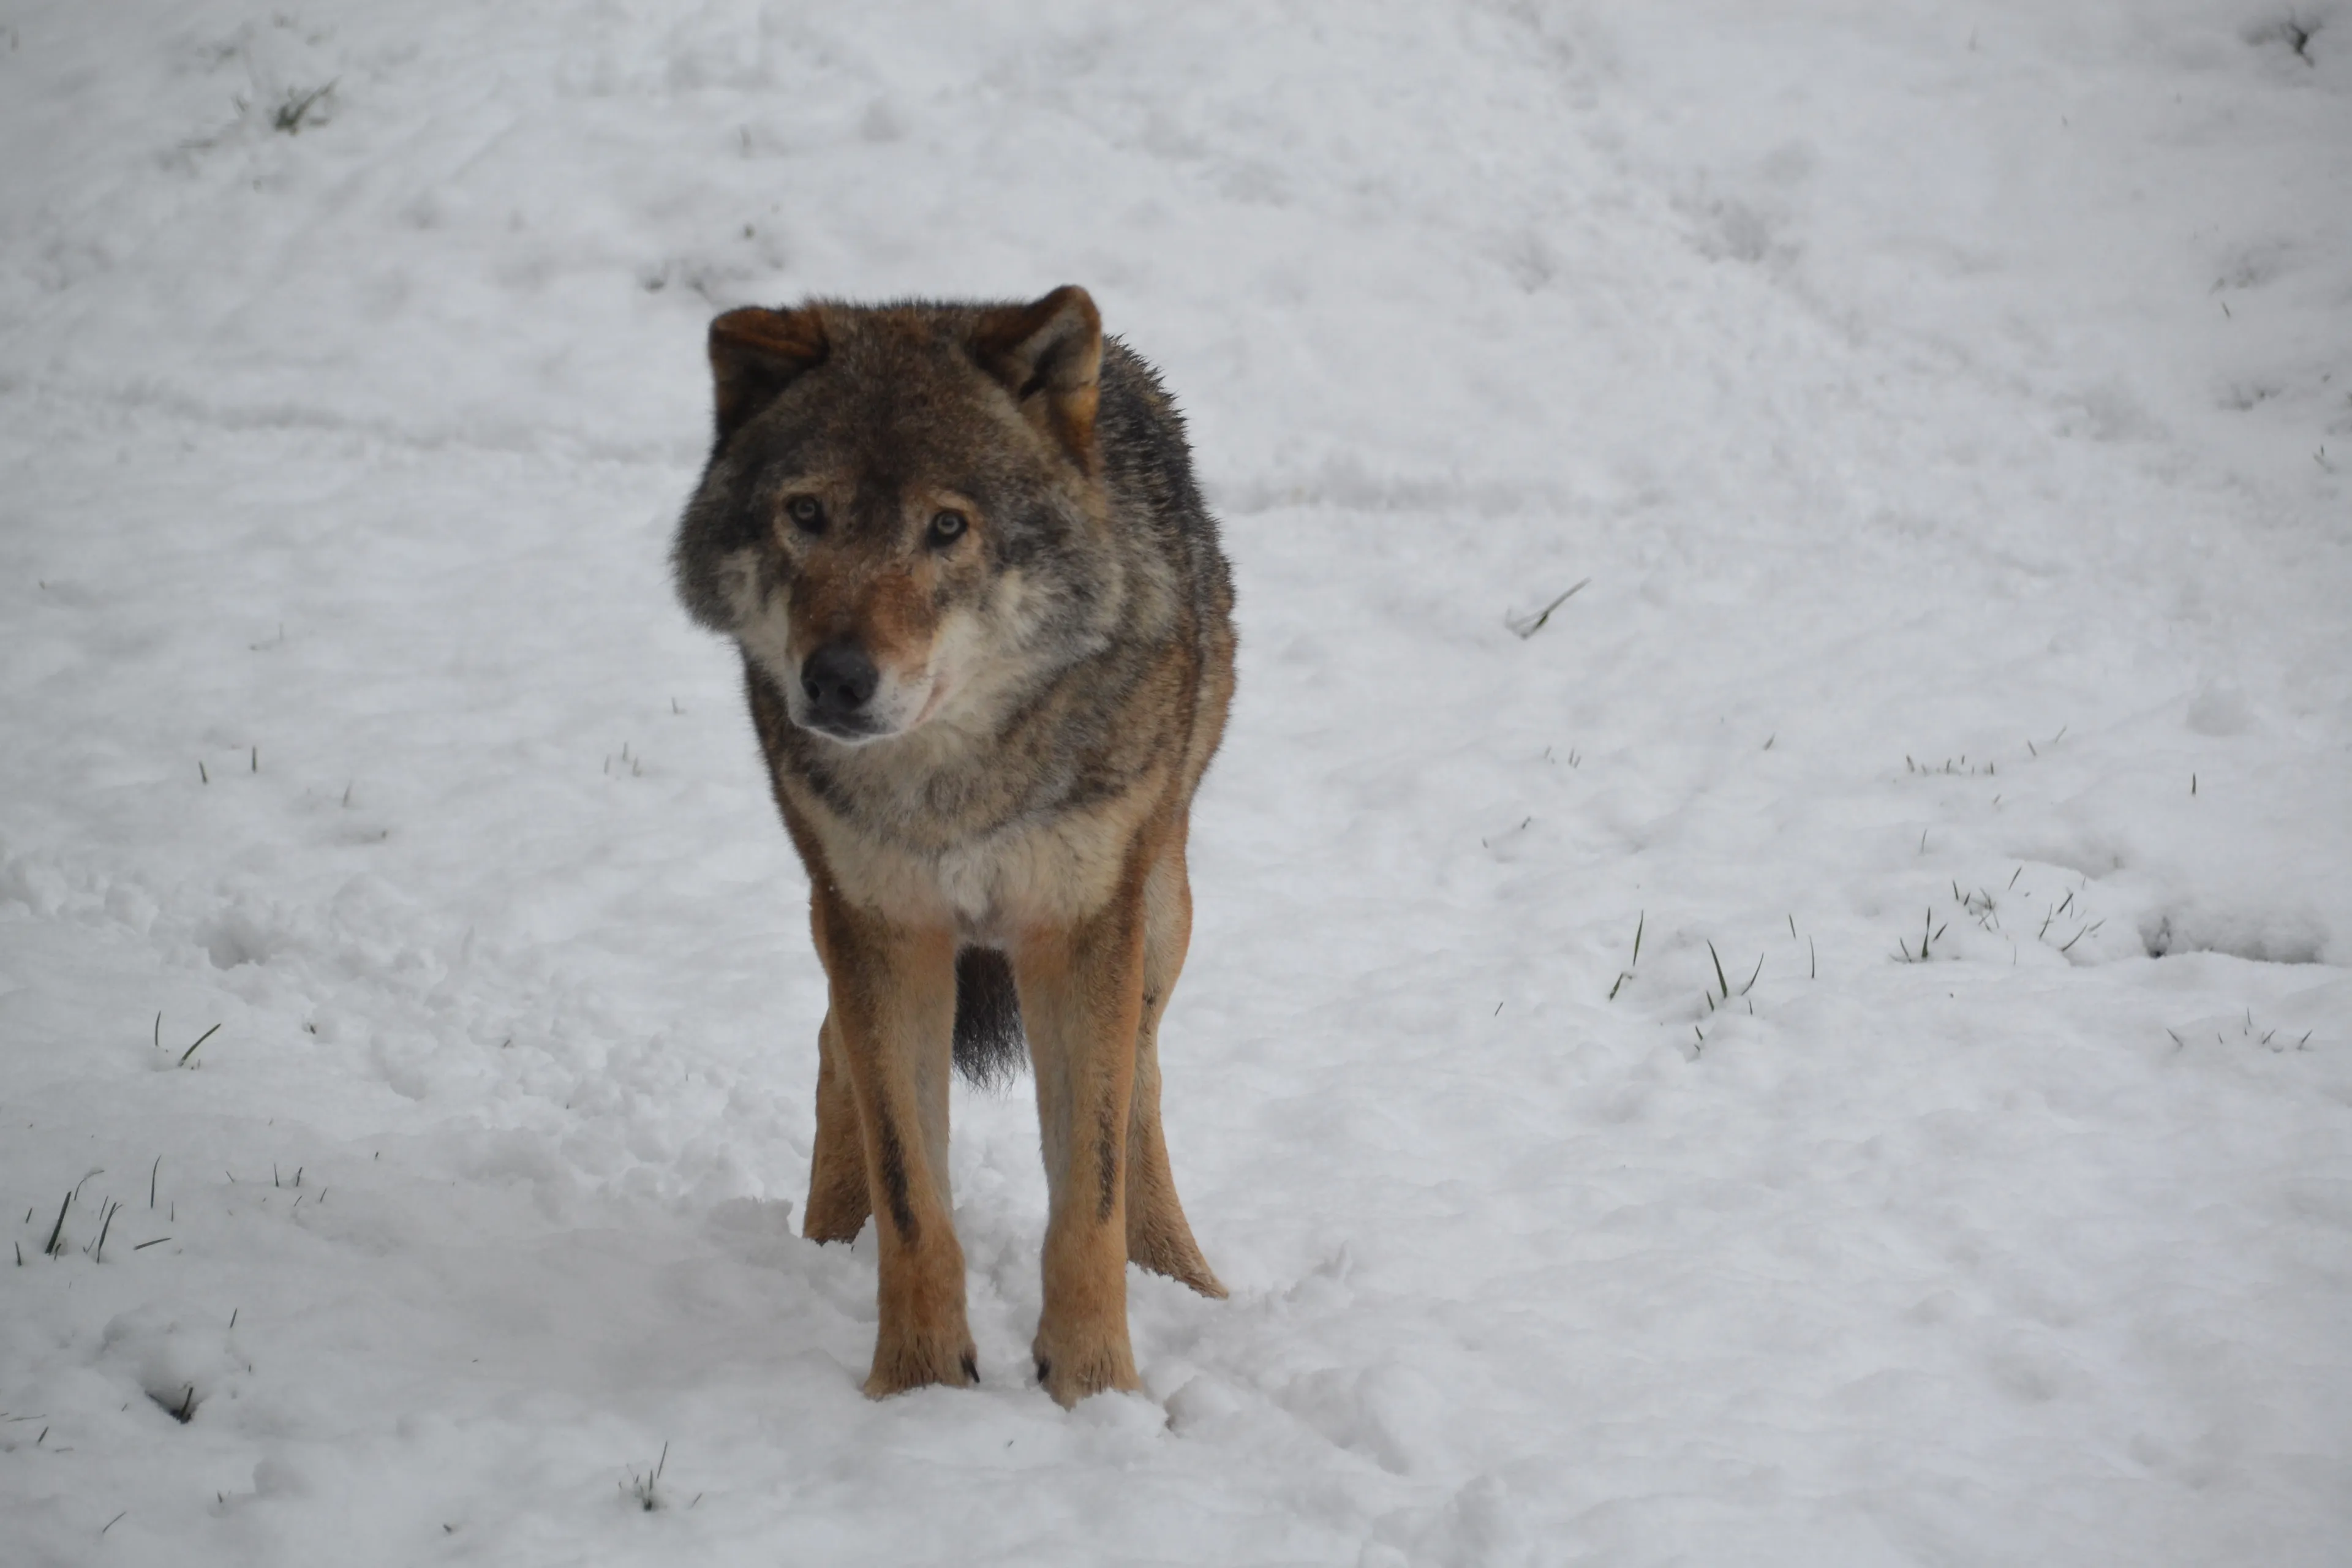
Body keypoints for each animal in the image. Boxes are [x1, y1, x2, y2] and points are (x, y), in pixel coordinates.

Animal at [671, 286, 1235, 1405]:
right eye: (807, 513)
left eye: (947, 527)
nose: (836, 679)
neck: (953, 789)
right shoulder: (886, 927)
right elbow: (912, 1195)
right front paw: (918, 1390)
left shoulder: (1080, 928)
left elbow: (1090, 1196)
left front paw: (1096, 1392)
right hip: (835, 914)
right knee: (833, 1054)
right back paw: (827, 1244)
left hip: (1158, 912)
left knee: (1144, 1084)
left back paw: (1185, 1279)